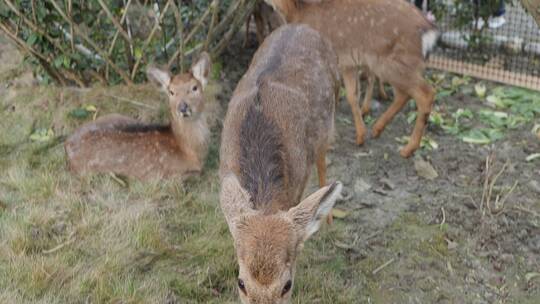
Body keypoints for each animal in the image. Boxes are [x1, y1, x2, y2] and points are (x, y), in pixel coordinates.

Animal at [64, 52, 212, 180]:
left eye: (194, 87)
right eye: (171, 92)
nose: (182, 107)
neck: (190, 151)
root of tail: (67, 144)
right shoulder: (165, 177)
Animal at [266, 0, 438, 157]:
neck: (298, 13)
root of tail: (429, 31)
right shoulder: (348, 63)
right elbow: (351, 95)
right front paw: (360, 137)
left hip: (391, 63)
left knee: (425, 92)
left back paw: (408, 149)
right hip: (397, 65)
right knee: (404, 94)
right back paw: (377, 130)